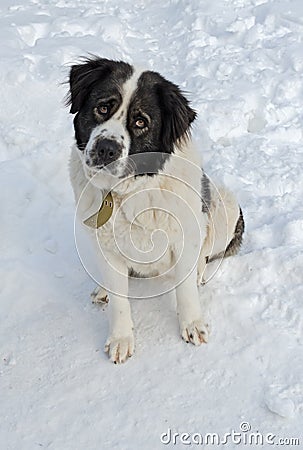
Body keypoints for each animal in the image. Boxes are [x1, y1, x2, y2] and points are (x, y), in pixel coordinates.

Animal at [66, 58, 245, 364]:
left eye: (140, 122)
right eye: (103, 107)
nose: (106, 149)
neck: (127, 192)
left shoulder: (185, 235)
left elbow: (185, 290)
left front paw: (192, 325)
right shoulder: (106, 246)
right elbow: (120, 300)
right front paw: (121, 339)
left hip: (225, 205)